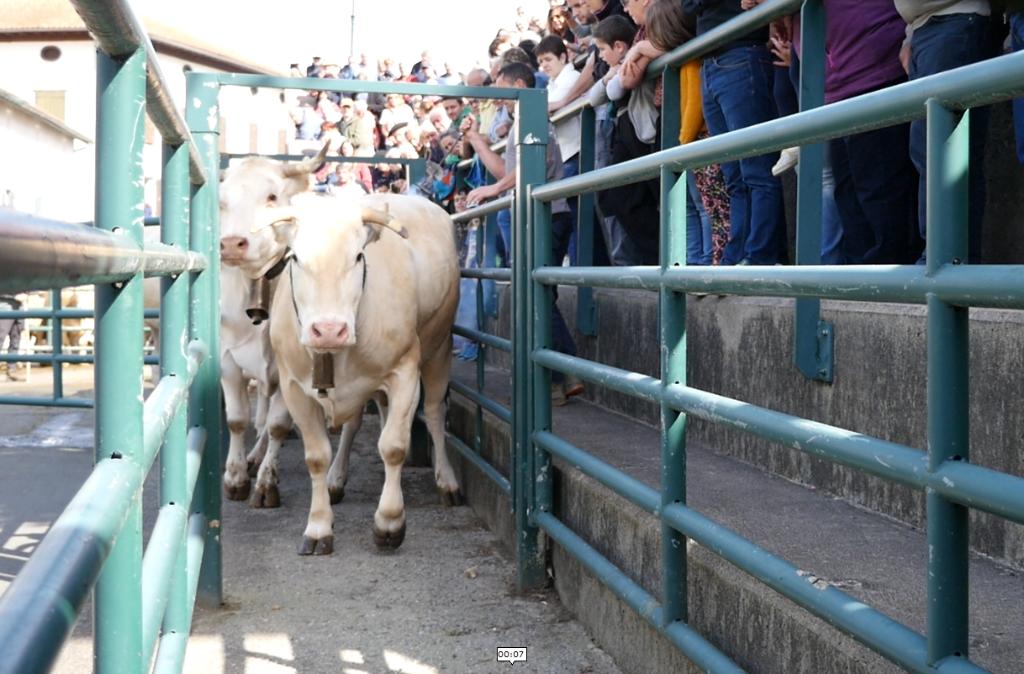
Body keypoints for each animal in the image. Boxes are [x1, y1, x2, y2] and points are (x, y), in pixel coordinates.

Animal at [253, 190, 462, 553]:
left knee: (435, 413)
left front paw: (390, 522)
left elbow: (393, 445)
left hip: (440, 349)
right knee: (354, 425)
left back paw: (446, 481)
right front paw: (318, 526)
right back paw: (337, 480)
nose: (328, 330)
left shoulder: (405, 372)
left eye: (359, 256)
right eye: (295, 259)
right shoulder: (293, 388)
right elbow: (316, 456)